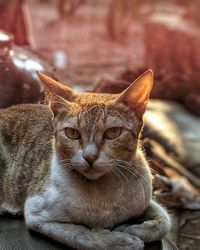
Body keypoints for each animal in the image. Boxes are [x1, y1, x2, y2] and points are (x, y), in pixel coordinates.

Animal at [0, 70, 171, 250]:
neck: (103, 194)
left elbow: (164, 222)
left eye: (113, 132)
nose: (90, 157)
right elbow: (82, 235)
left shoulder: (146, 199)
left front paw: (131, 228)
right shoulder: (37, 215)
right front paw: (118, 240)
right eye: (72, 133)